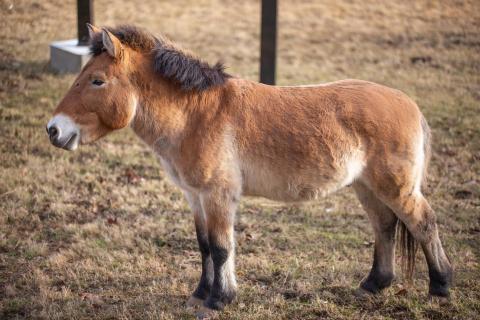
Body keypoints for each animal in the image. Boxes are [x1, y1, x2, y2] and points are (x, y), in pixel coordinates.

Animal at [47, 25, 452, 318]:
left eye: (98, 80)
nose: (54, 130)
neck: (196, 114)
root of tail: (411, 106)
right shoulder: (195, 196)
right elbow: (204, 246)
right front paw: (200, 294)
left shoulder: (218, 195)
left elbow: (221, 247)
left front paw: (219, 300)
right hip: (366, 186)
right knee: (384, 226)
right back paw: (374, 284)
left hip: (396, 187)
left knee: (423, 223)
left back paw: (441, 287)